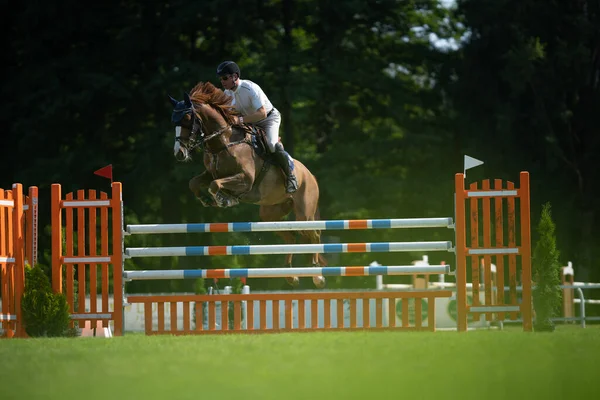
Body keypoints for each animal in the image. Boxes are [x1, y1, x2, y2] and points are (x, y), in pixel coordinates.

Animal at [169, 81, 328, 288]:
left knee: (314, 235)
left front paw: (224, 199)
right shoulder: (210, 173)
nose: (179, 153)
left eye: (188, 118)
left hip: (304, 213)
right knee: (291, 236)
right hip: (270, 214)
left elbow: (215, 185)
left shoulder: (245, 179)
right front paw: (207, 200)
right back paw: (291, 275)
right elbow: (194, 183)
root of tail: (311, 176)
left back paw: (317, 275)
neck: (223, 143)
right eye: (174, 121)